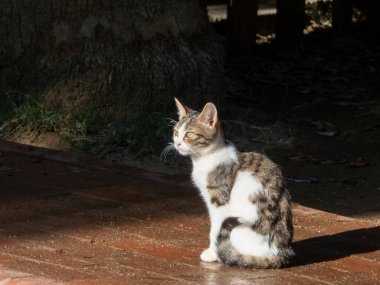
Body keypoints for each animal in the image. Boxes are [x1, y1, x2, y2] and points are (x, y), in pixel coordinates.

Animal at [171, 97, 296, 266]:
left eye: (189, 134)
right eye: (176, 132)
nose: (177, 143)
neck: (206, 157)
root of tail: (283, 253)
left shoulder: (220, 203)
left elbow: (214, 230)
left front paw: (213, 254)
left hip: (238, 227)